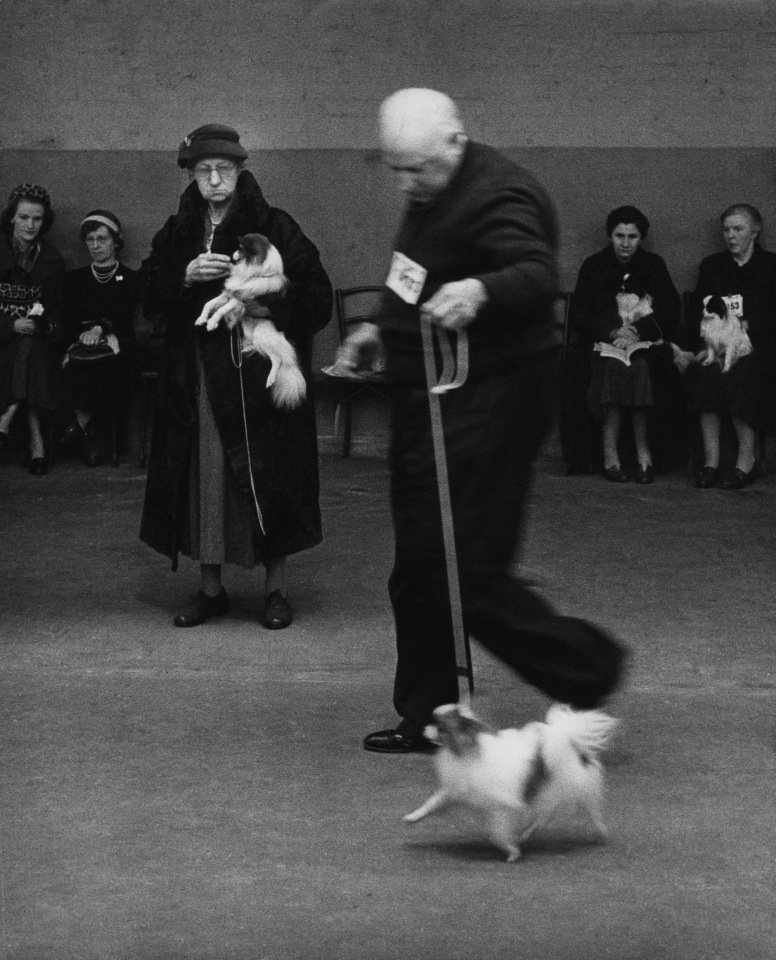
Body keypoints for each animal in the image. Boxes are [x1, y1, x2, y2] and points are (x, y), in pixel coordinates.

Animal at [196, 236, 308, 412]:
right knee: (261, 350)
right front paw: (201, 319)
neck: (252, 275)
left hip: (262, 335)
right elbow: (209, 304)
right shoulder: (227, 295)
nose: (233, 253)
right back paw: (246, 349)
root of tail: (281, 337)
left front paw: (212, 323)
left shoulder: (238, 301)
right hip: (251, 332)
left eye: (241, 249)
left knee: (277, 358)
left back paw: (271, 378)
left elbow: (220, 310)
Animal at [406, 700, 620, 868]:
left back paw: (600, 834)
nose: (423, 729)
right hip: (546, 794)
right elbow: (432, 802)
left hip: (572, 791)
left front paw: (512, 852)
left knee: (590, 814)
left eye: (440, 727)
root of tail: (571, 742)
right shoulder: (455, 790)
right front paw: (412, 817)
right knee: (542, 817)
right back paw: (524, 834)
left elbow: (497, 835)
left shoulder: (501, 808)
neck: (469, 752)